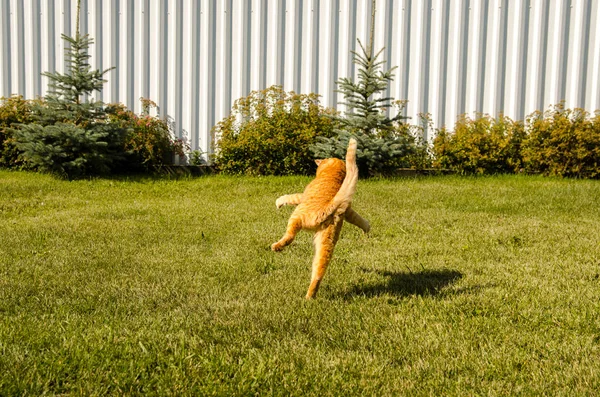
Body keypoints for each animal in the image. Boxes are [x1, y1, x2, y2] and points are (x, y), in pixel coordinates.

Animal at [274, 138, 370, 298]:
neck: (332, 174)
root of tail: (327, 207)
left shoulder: (301, 197)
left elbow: (290, 197)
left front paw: (279, 202)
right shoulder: (347, 209)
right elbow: (359, 219)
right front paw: (367, 228)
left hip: (296, 216)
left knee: (289, 237)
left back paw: (276, 247)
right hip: (326, 244)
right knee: (318, 273)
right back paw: (309, 296)